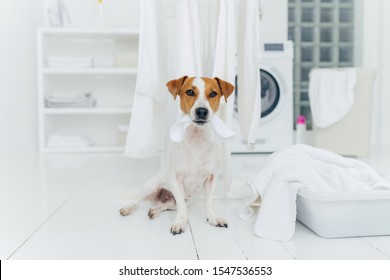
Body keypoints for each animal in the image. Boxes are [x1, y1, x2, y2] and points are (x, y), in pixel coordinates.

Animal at [120, 76, 233, 234]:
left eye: (213, 93)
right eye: (190, 92)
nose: (202, 111)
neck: (196, 138)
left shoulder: (211, 177)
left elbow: (208, 202)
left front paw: (213, 218)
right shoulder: (176, 178)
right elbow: (182, 208)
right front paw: (180, 222)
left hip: (184, 200)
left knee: (165, 204)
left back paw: (154, 210)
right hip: (151, 186)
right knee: (137, 200)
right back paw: (128, 207)